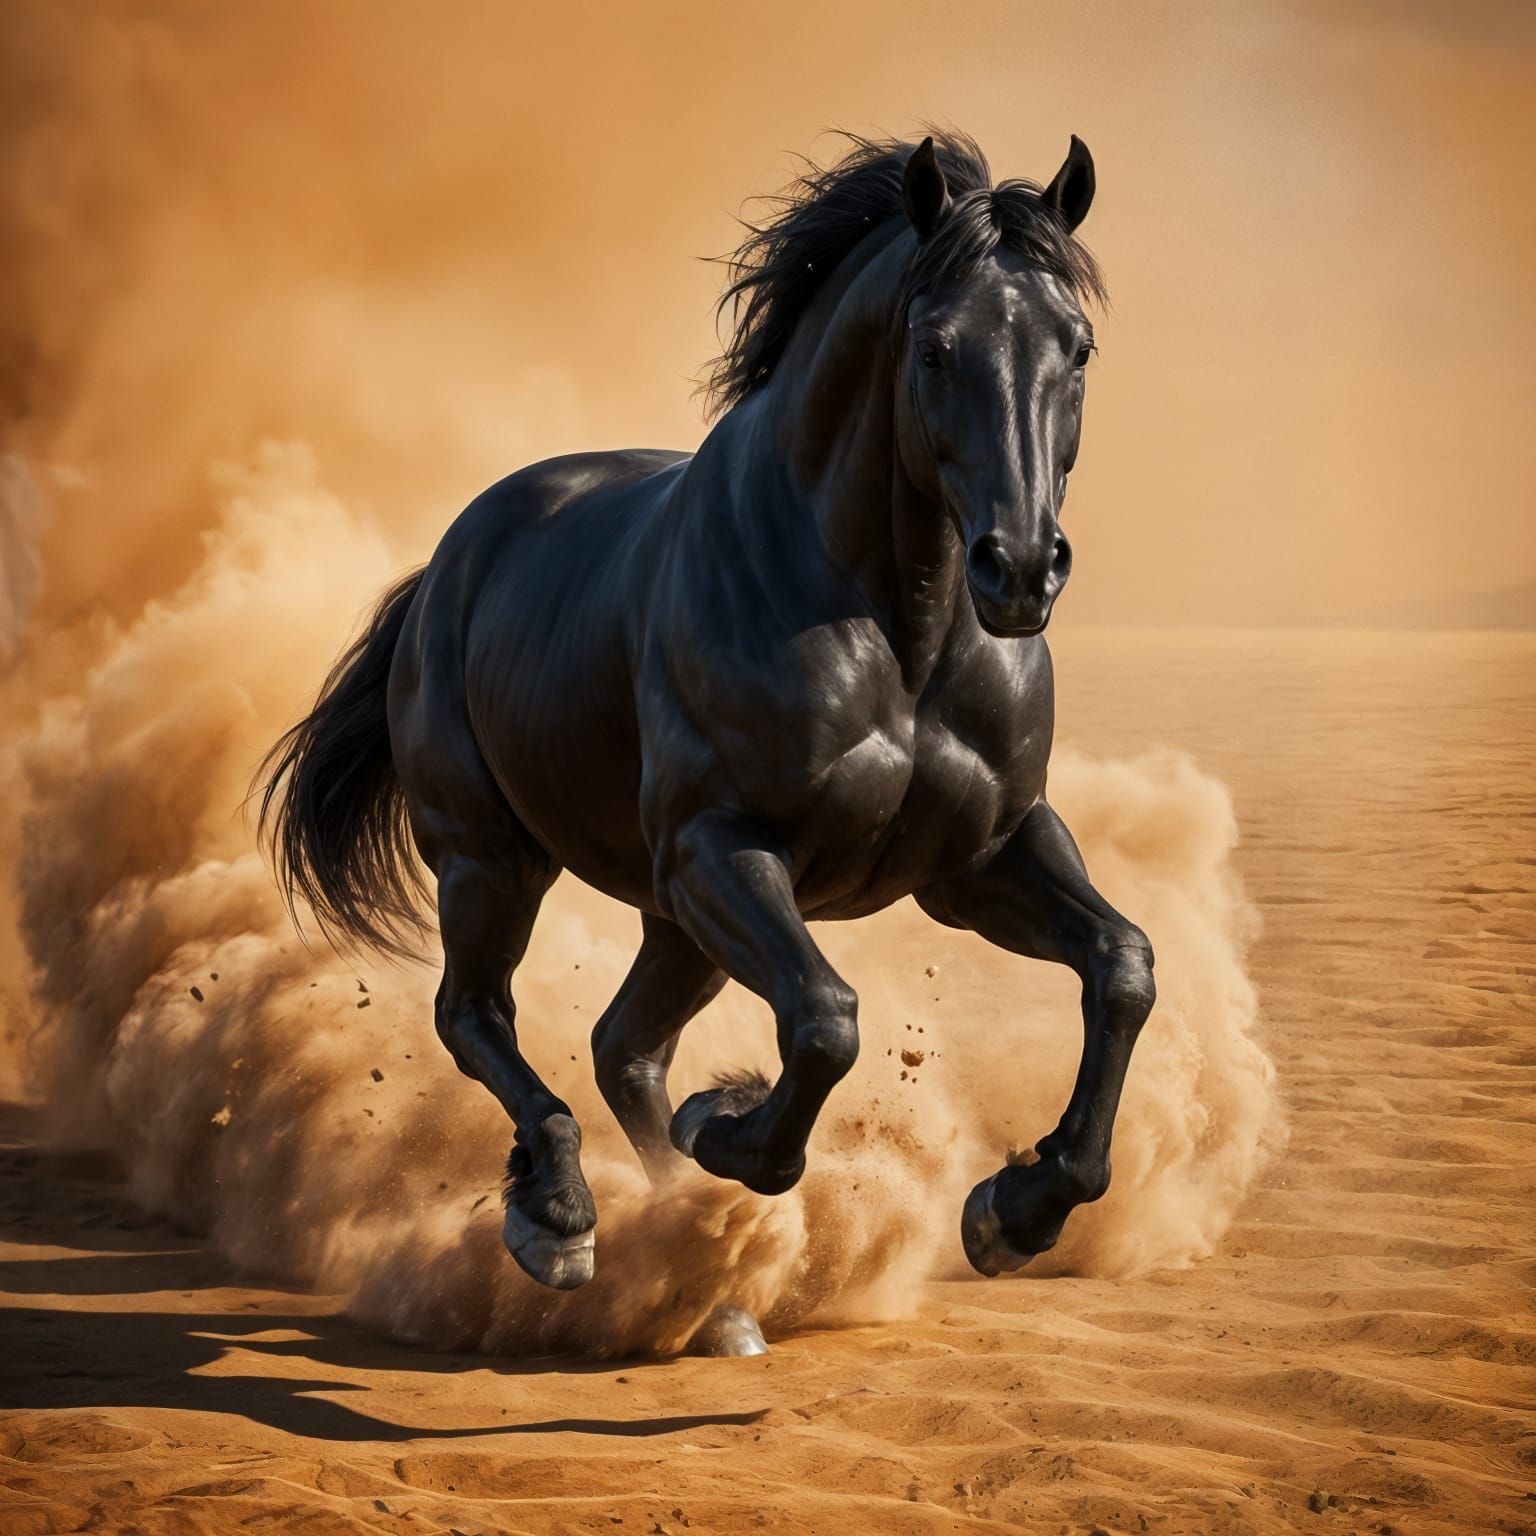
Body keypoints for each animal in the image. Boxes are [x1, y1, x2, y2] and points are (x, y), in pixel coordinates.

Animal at [259, 129, 1155, 1357]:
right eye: (936, 348)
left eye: (1079, 346)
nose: (1019, 570)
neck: (896, 626)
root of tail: (449, 563)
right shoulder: (722, 847)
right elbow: (826, 1024)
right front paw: (725, 1126)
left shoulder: (981, 859)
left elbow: (1122, 968)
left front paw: (1017, 1210)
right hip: (500, 862)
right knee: (477, 1014)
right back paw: (563, 1220)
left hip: (672, 919)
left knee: (621, 1047)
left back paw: (705, 1282)